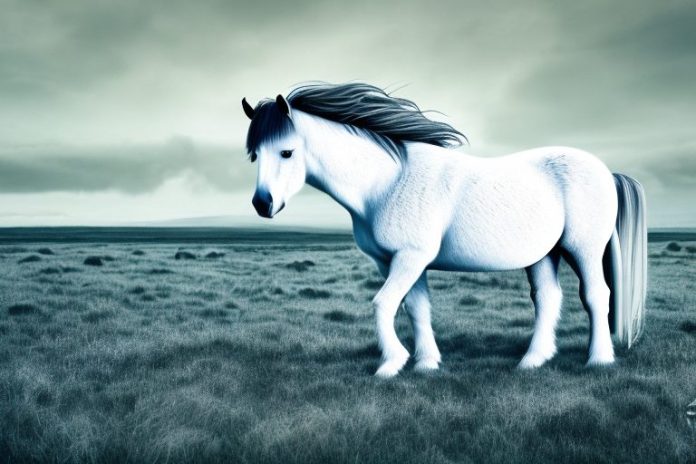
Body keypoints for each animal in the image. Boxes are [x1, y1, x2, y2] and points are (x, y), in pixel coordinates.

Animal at [241, 82, 647, 378]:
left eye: (287, 152)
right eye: (255, 155)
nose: (262, 204)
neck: (387, 183)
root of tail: (606, 171)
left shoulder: (410, 258)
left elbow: (383, 303)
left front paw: (391, 364)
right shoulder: (396, 261)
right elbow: (416, 308)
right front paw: (426, 363)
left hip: (584, 248)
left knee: (596, 295)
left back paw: (598, 360)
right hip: (543, 254)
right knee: (548, 298)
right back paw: (532, 361)